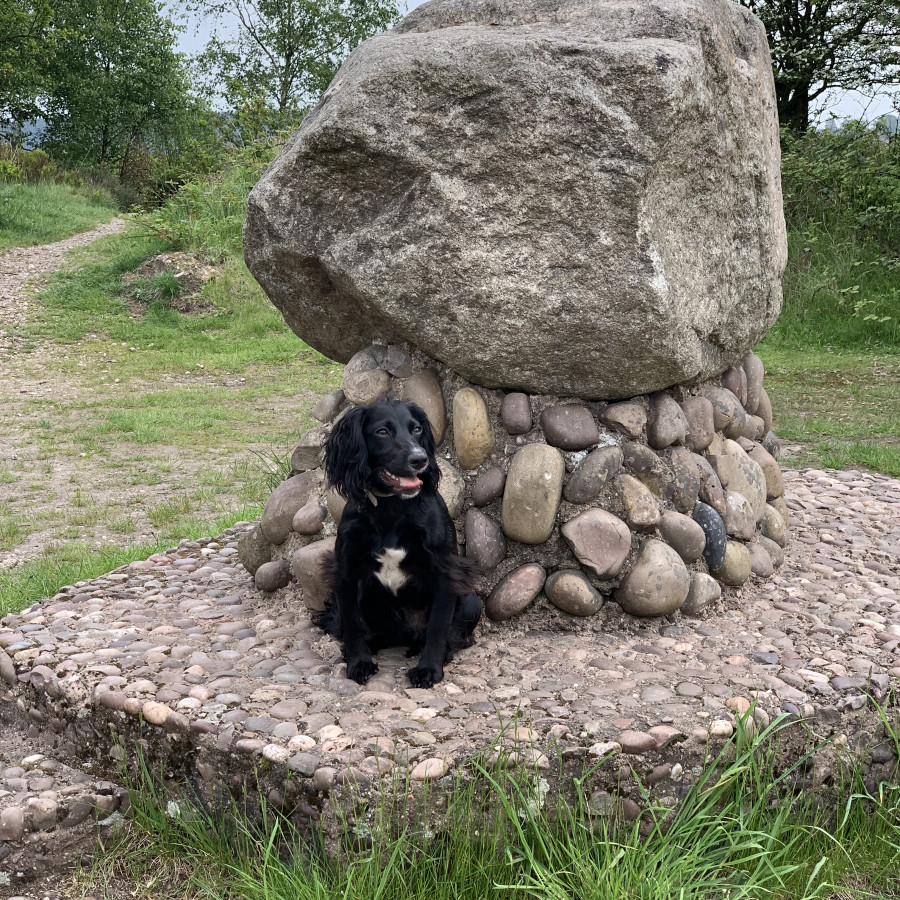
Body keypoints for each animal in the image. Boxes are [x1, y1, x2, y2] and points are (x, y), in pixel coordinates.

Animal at [318, 398, 482, 684]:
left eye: (416, 429)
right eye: (382, 432)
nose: (420, 459)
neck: (392, 508)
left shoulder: (446, 572)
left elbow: (438, 627)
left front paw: (429, 668)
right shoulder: (346, 572)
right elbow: (351, 623)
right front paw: (358, 662)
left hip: (472, 601)